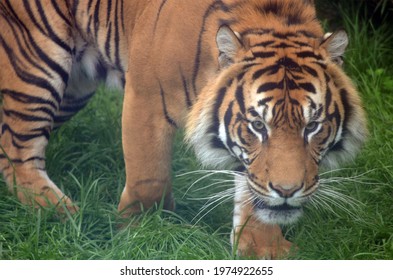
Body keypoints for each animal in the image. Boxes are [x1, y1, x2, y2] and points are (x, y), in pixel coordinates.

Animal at [0, 0, 368, 258]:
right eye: (258, 125)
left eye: (313, 126)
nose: (288, 191)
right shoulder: (144, 98)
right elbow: (149, 178)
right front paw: (140, 234)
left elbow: (254, 192)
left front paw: (264, 249)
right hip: (37, 62)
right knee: (17, 156)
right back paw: (67, 217)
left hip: (74, 89)